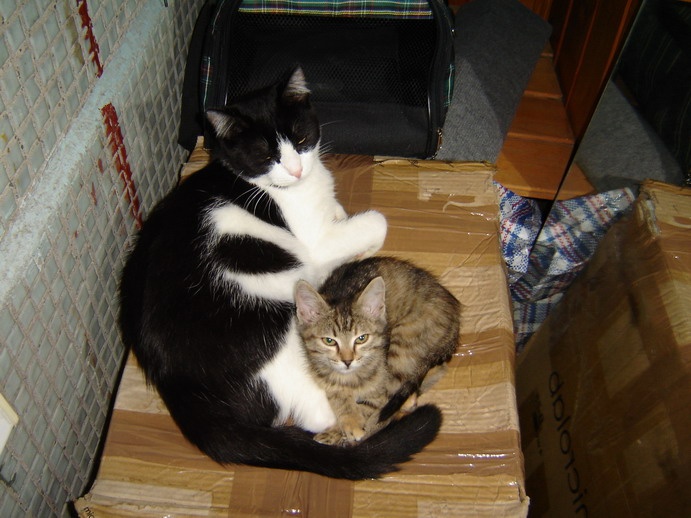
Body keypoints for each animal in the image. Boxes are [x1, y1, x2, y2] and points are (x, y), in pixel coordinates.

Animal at [118, 67, 441, 480]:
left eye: (301, 139)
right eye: (265, 155)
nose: (297, 169)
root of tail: (180, 390)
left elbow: (340, 212)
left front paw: (341, 216)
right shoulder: (314, 243)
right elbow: (375, 221)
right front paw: (360, 243)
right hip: (288, 333)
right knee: (326, 413)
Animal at [294, 256, 460, 446]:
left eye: (362, 338)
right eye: (329, 341)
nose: (347, 361)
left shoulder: (381, 383)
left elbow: (374, 405)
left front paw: (351, 426)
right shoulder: (322, 373)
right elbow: (337, 393)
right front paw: (348, 419)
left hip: (403, 341)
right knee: (437, 369)